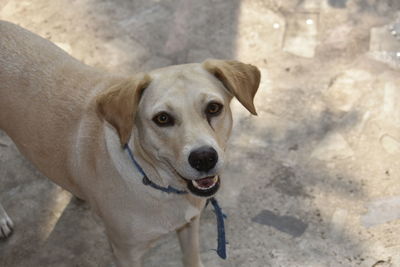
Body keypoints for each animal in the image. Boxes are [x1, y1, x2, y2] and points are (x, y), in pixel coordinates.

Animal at [0, 21, 260, 267]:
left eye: (213, 108)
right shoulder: (126, 252)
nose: (204, 158)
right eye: (162, 118)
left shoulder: (189, 225)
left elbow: (191, 258)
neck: (158, 184)